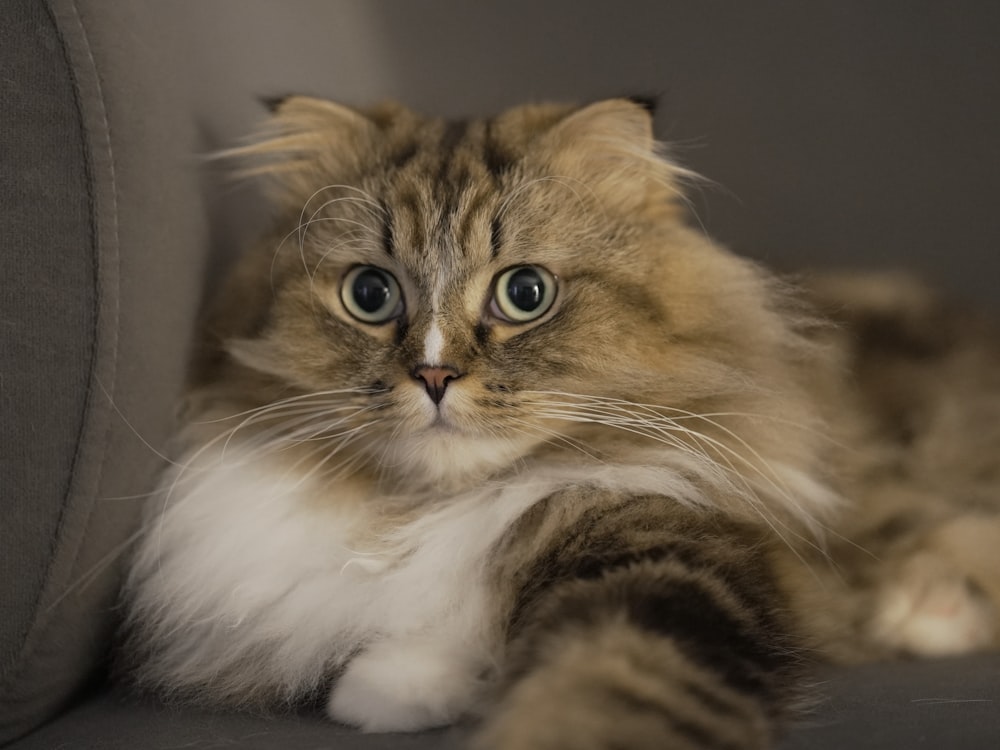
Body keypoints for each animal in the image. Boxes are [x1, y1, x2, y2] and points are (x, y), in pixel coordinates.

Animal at [119, 97, 1000, 748]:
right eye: (370, 295)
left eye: (525, 294)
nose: (434, 376)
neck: (423, 508)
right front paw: (397, 689)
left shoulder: (670, 550)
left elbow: (604, 682)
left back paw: (929, 610)